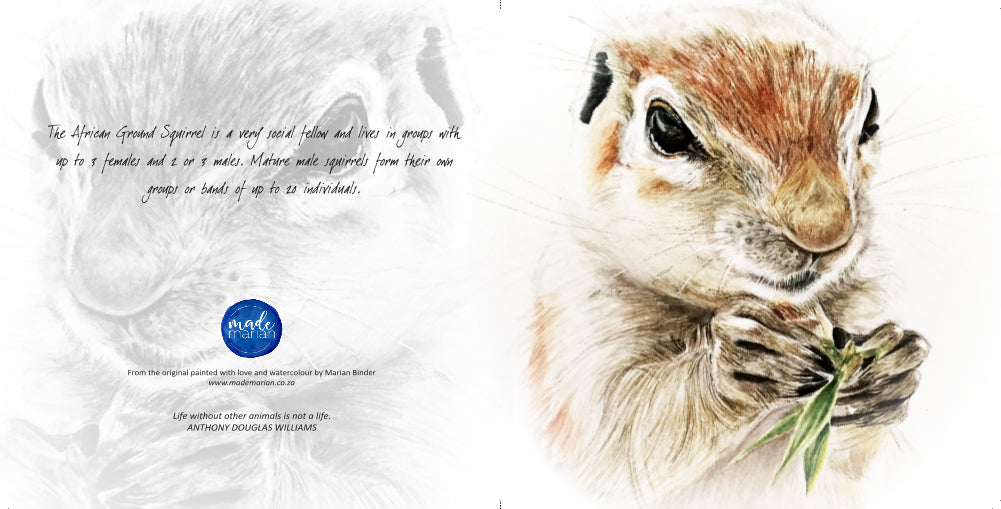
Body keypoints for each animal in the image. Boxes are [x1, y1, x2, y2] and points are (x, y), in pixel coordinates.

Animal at [528, 4, 929, 507]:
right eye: (666, 127)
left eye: (871, 109)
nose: (824, 232)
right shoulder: (581, 330)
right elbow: (627, 436)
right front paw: (745, 360)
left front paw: (888, 370)